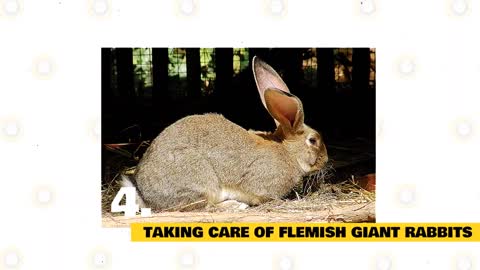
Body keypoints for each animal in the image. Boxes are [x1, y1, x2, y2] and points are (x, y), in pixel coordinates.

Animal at [122, 55, 328, 211]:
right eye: (313, 140)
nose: (325, 160)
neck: (288, 151)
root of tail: (145, 196)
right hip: (200, 180)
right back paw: (234, 205)